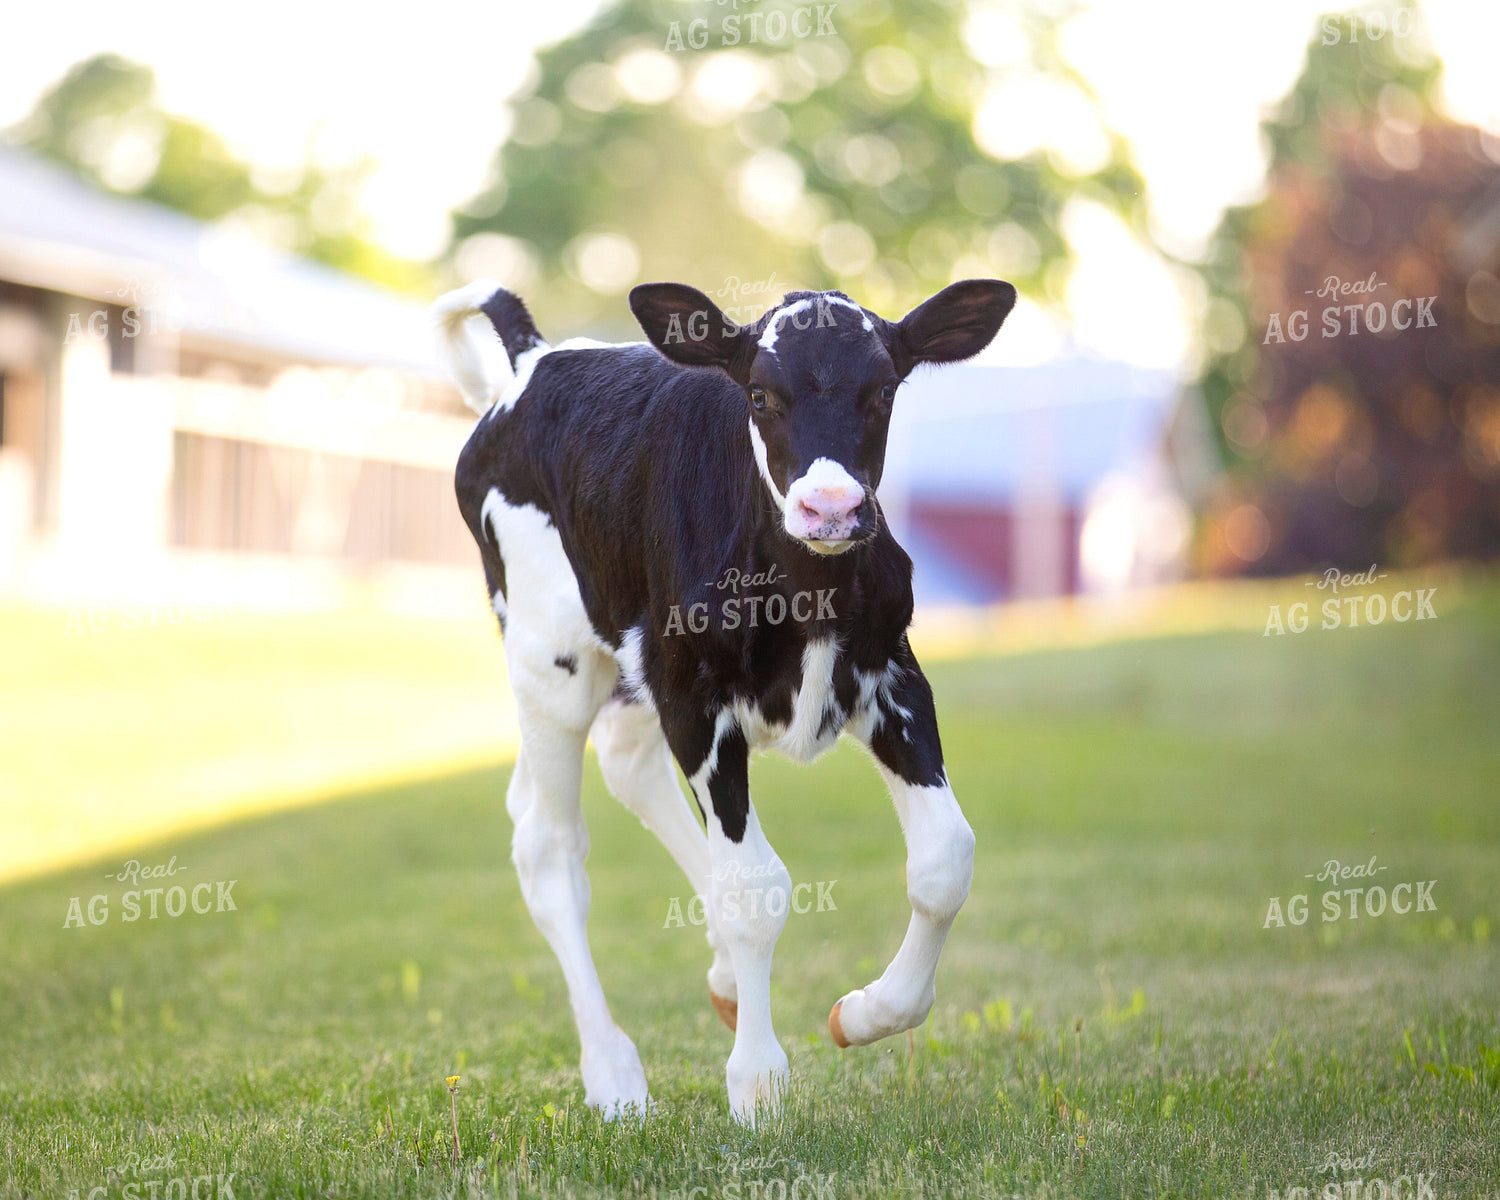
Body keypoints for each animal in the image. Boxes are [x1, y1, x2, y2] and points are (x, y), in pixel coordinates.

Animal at [433, 275, 1016, 1124]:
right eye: (761, 394)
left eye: (882, 390)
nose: (831, 508)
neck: (803, 595)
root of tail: (533, 357)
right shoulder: (695, 701)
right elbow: (755, 887)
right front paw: (759, 1083)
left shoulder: (893, 679)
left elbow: (946, 858)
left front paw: (867, 1013)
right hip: (551, 661)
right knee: (548, 844)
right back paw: (613, 1073)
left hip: (627, 671)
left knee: (624, 769)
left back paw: (717, 983)